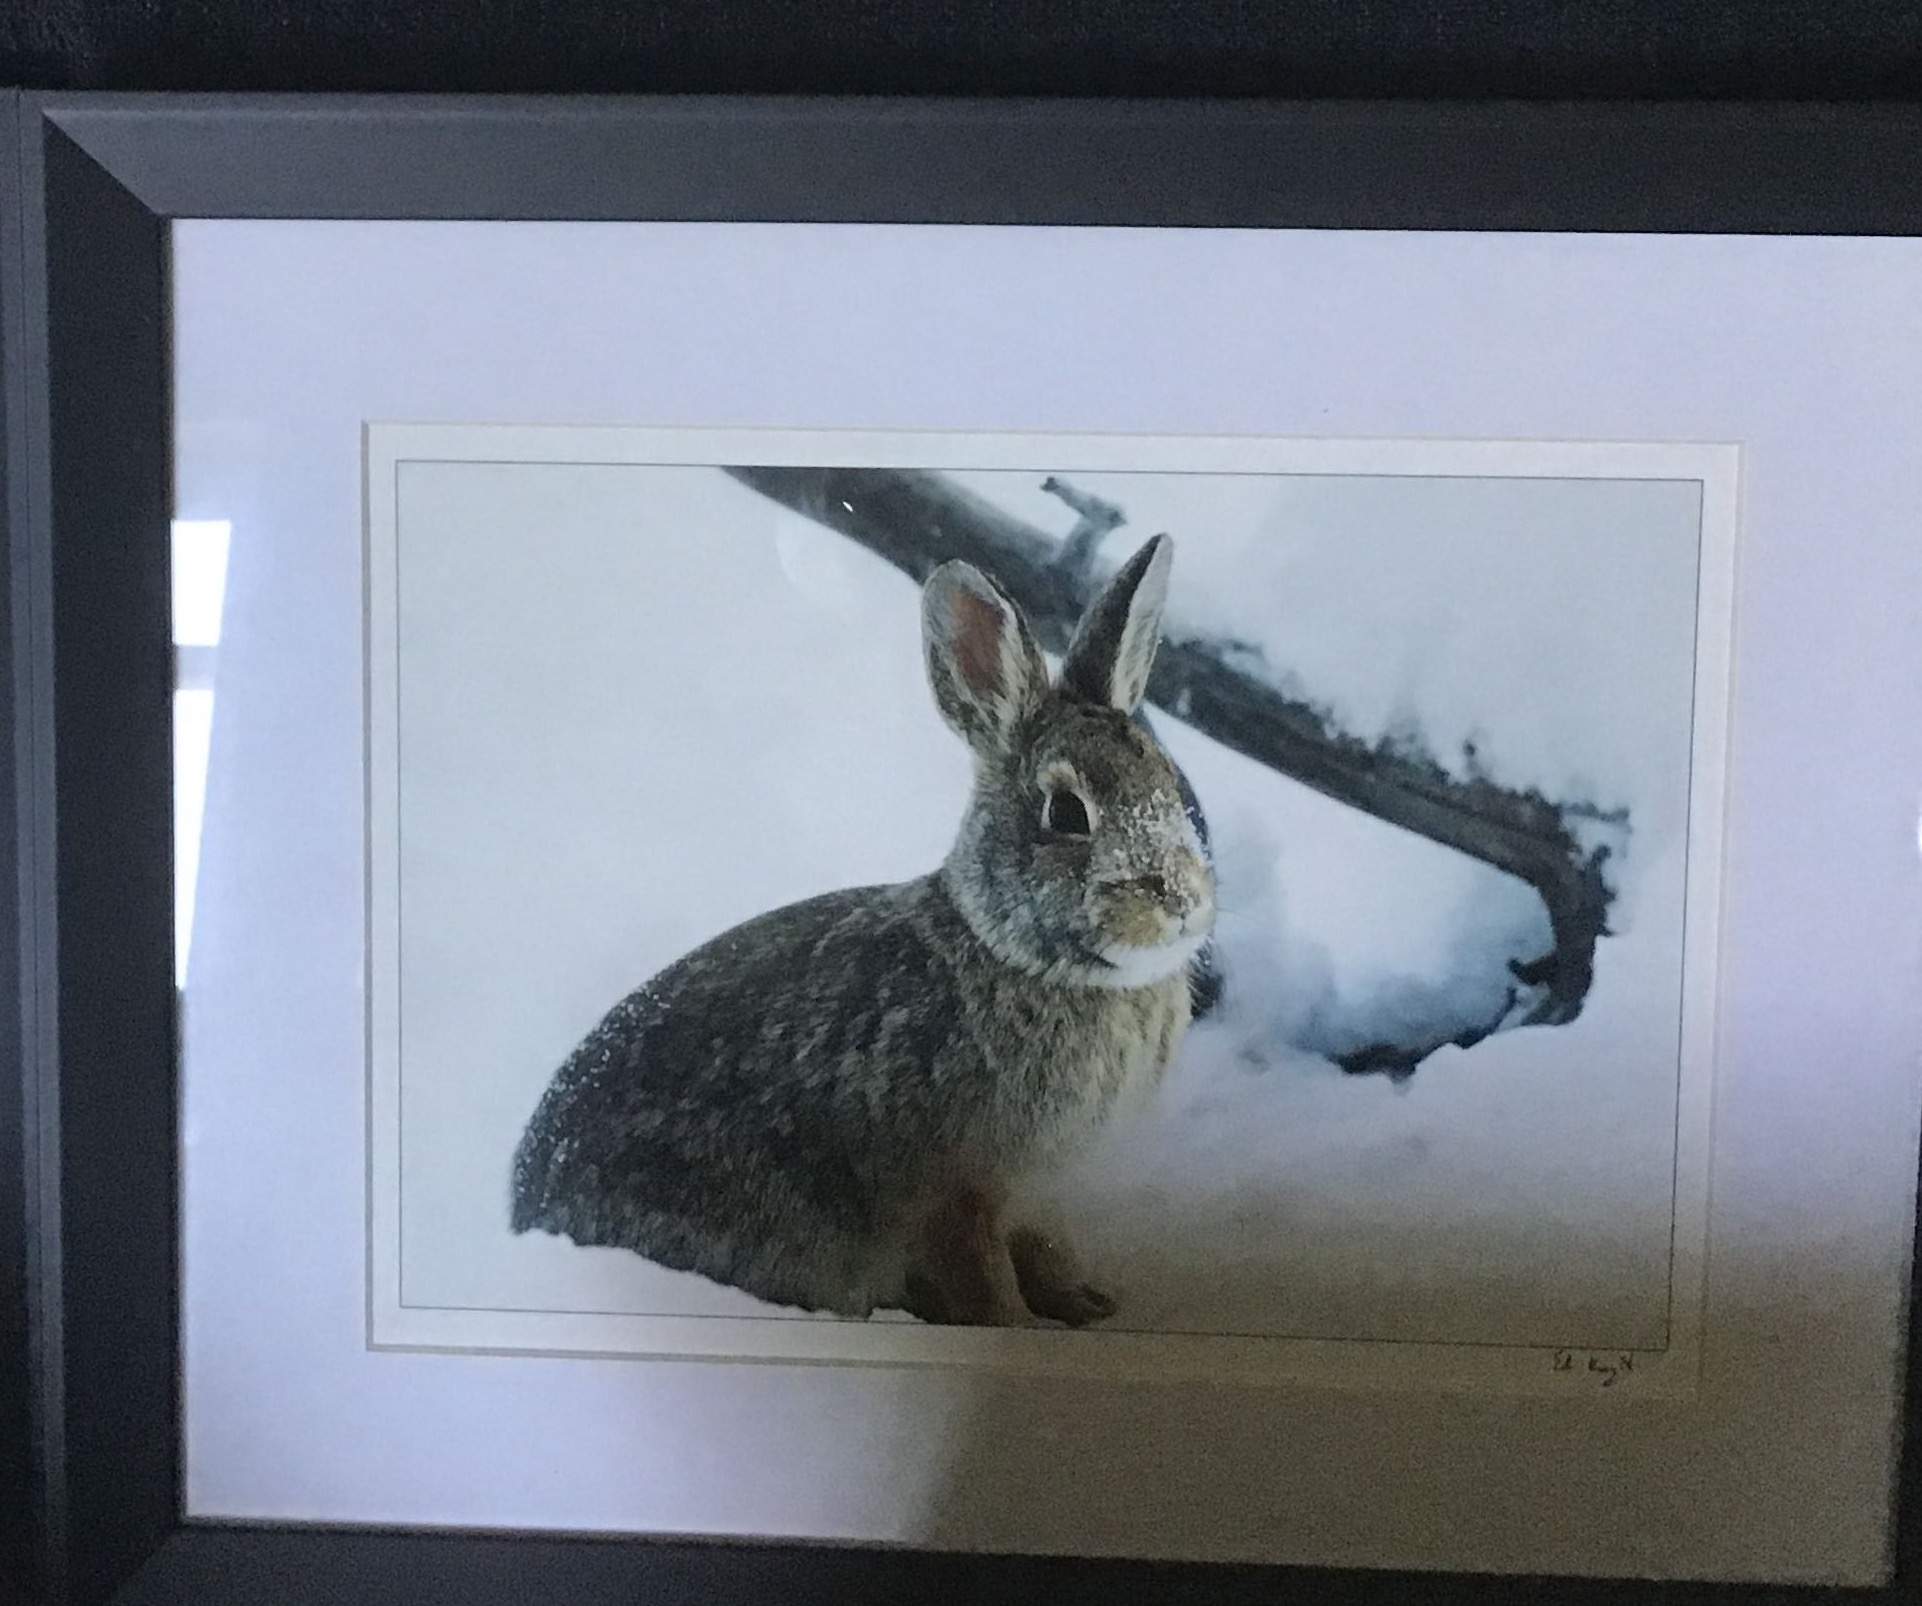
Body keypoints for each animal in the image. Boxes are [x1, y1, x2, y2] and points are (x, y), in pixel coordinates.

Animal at [509, 534, 1217, 1327]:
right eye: (1066, 813)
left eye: (1171, 786)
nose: (1183, 899)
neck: (1022, 959)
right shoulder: (957, 1200)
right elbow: (986, 1284)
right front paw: (1019, 1328)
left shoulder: (1045, 1196)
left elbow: (1052, 1254)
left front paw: (1091, 1309)